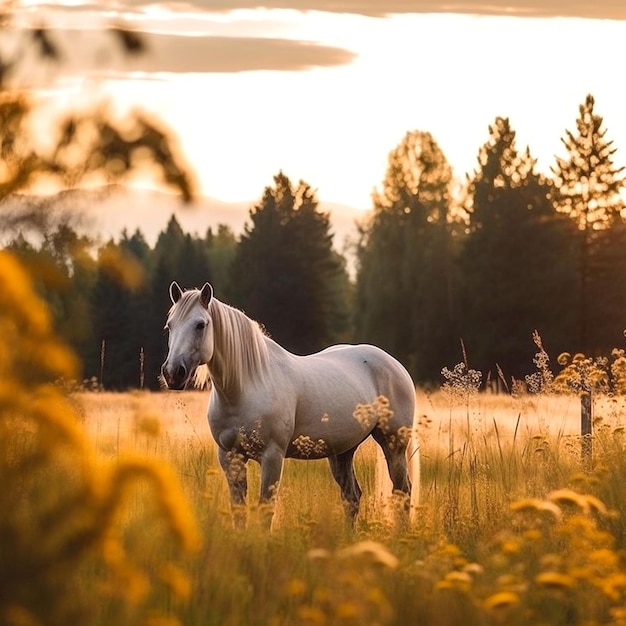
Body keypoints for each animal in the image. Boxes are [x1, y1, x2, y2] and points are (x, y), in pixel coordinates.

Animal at [160, 282, 420, 528]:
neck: (247, 387)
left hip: (393, 444)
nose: (173, 373)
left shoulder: (272, 457)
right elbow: (239, 512)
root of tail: (394, 364)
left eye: (200, 325)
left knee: (403, 493)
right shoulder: (230, 456)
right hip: (342, 452)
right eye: (169, 326)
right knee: (352, 497)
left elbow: (265, 511)